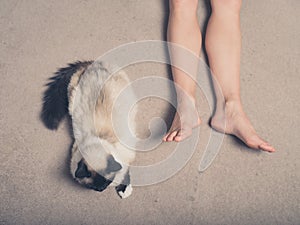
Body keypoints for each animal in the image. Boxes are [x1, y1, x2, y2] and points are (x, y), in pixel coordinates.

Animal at [41, 60, 137, 199]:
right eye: (95, 187)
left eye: (107, 182)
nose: (102, 189)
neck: (100, 138)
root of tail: (91, 63)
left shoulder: (127, 156)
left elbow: (125, 171)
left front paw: (124, 190)